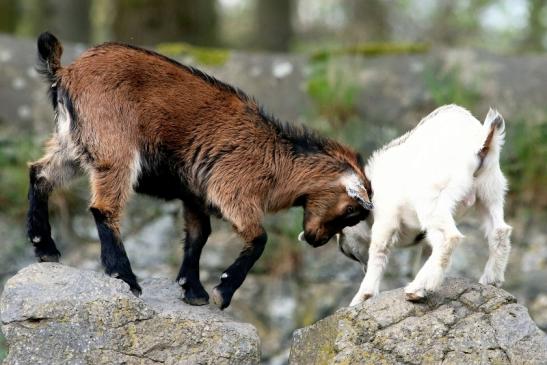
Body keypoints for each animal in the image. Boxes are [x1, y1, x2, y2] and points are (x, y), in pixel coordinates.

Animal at [28, 32, 372, 308]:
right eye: (351, 210)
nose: (316, 240)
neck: (277, 159)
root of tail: (65, 72)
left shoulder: (194, 194)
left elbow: (198, 235)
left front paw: (192, 289)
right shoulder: (231, 188)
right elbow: (259, 238)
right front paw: (222, 292)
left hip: (74, 146)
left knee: (39, 174)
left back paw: (45, 248)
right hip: (115, 150)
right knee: (103, 207)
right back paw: (124, 277)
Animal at [338, 104, 512, 304]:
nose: (362, 267)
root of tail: (479, 145)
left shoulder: (386, 217)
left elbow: (379, 250)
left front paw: (362, 297)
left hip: (432, 200)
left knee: (449, 238)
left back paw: (417, 289)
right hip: (490, 191)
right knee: (499, 231)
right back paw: (490, 280)